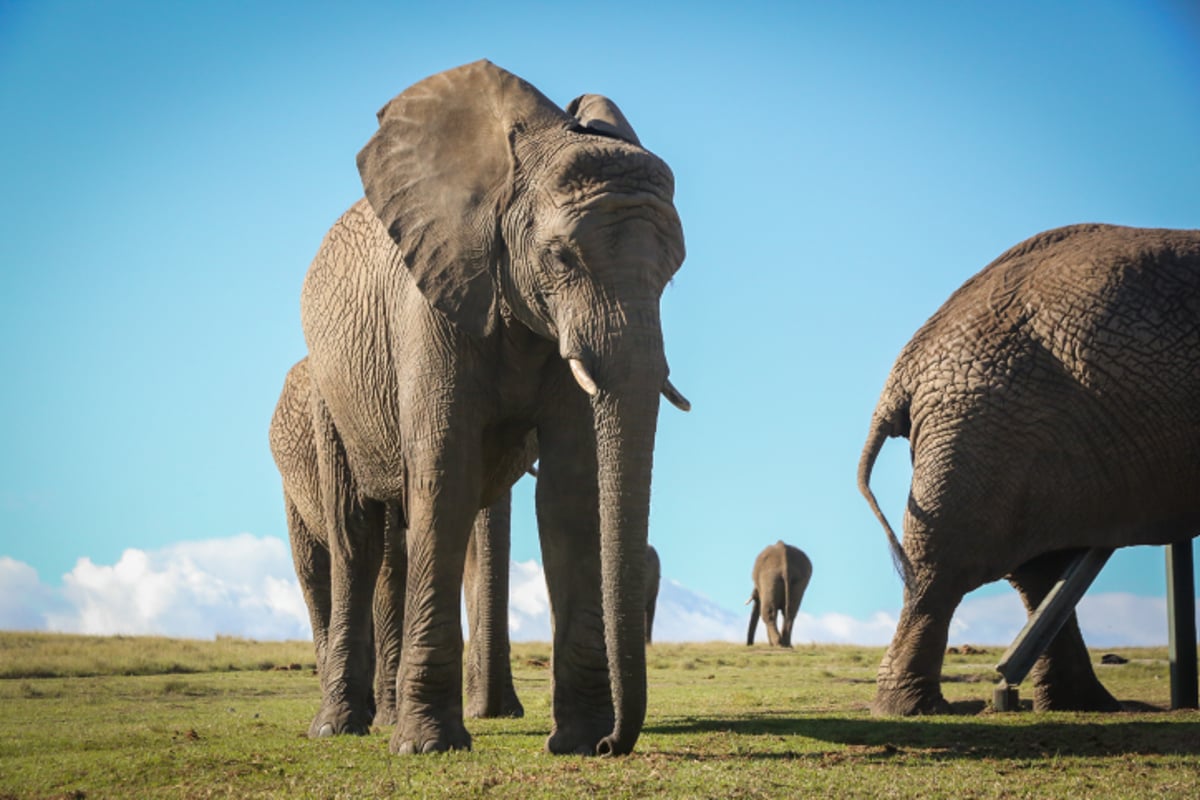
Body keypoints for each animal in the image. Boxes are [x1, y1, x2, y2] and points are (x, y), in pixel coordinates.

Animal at [296, 62, 691, 758]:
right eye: (561, 257)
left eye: (673, 271)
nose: (616, 744)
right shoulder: (430, 302)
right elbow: (444, 476)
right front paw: (427, 747)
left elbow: (571, 492)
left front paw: (576, 742)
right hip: (327, 387)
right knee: (356, 535)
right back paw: (339, 727)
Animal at [859, 221, 1200, 714]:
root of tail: (904, 371)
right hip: (987, 420)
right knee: (947, 562)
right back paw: (916, 708)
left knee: (1036, 568)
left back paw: (1083, 704)